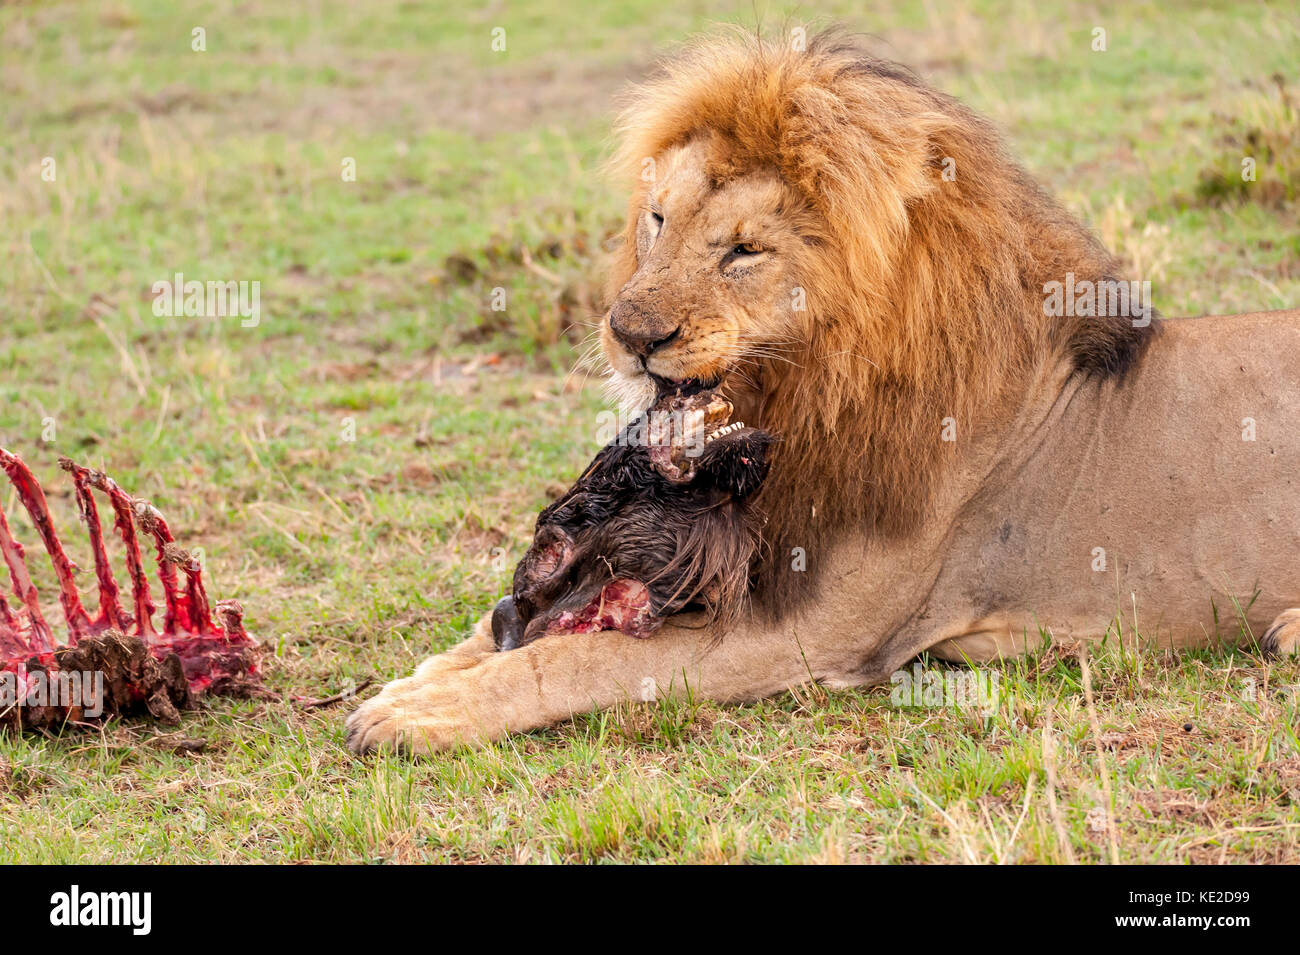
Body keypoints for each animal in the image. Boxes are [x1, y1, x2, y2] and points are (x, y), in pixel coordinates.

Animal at [345, 27, 1300, 753]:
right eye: (658, 220)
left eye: (743, 250)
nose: (629, 333)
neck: (807, 402)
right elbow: (499, 627)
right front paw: (425, 676)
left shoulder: (816, 628)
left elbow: (583, 659)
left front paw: (424, 710)